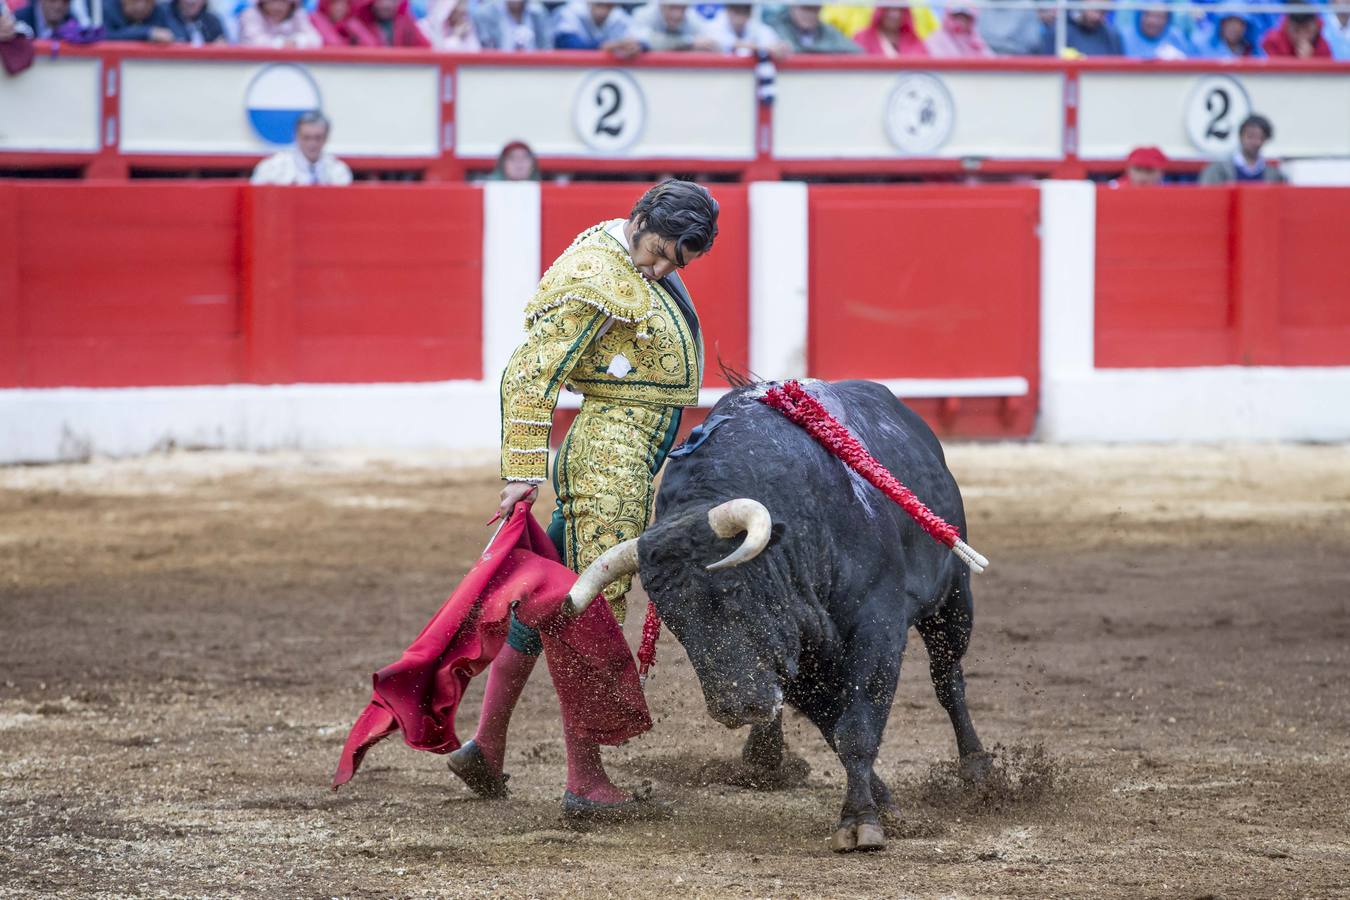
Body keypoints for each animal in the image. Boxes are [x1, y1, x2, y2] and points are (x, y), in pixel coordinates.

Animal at [637, 377, 988, 852]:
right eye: (674, 621)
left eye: (734, 592)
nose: (736, 705)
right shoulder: (798, 662)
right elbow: (837, 730)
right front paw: (882, 804)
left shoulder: (878, 628)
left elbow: (857, 728)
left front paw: (860, 822)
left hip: (953, 599)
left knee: (948, 678)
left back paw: (978, 769)